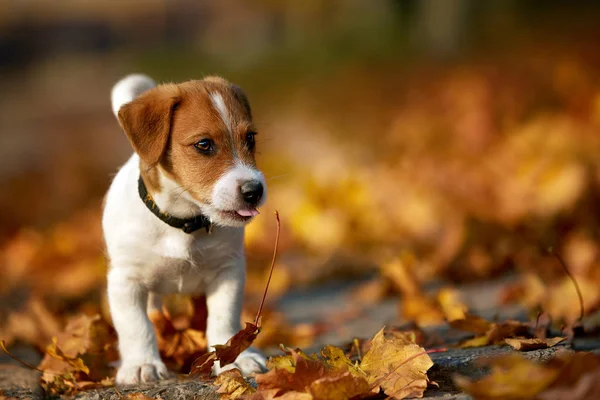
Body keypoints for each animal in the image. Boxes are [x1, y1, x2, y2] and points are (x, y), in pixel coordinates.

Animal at [103, 74, 268, 384]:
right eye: (204, 144)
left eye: (250, 138)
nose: (254, 191)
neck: (183, 222)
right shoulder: (125, 281)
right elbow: (136, 326)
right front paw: (142, 364)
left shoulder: (228, 272)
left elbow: (223, 320)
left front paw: (232, 359)